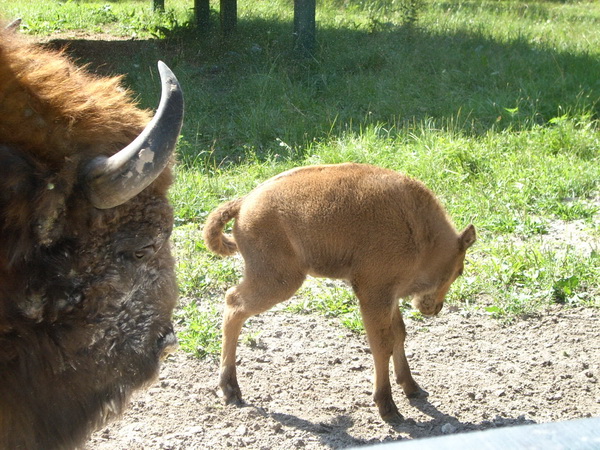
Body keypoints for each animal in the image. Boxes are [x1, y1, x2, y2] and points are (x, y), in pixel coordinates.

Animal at [204, 163, 476, 422]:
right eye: (459, 270)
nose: (435, 308)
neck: (421, 230)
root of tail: (245, 201)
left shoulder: (389, 297)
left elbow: (399, 334)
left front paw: (412, 388)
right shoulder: (373, 294)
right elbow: (382, 345)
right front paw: (388, 408)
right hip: (278, 281)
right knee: (233, 304)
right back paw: (230, 389)